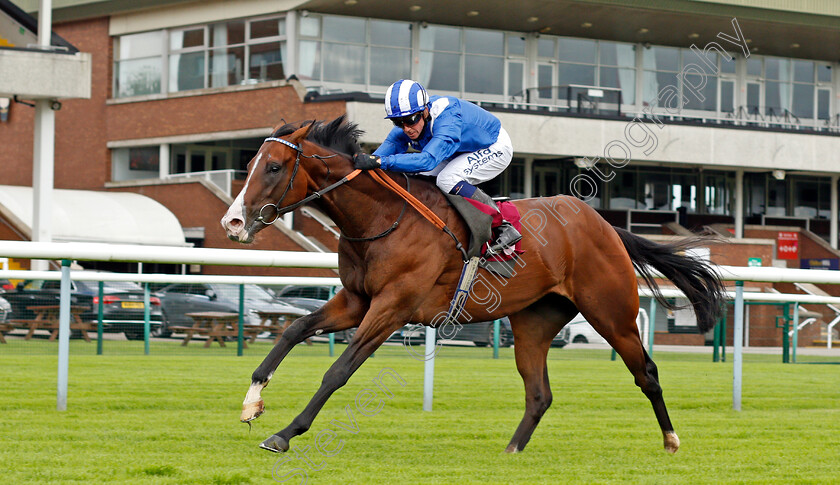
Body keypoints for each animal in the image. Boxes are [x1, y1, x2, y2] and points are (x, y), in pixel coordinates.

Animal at [220, 116, 724, 454]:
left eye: (274, 166)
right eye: (249, 162)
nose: (232, 222)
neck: (382, 217)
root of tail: (603, 224)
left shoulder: (392, 307)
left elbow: (338, 371)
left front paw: (285, 434)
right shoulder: (356, 300)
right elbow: (292, 330)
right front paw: (251, 403)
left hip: (611, 312)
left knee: (647, 372)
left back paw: (671, 439)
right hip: (534, 321)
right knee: (539, 393)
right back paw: (511, 451)